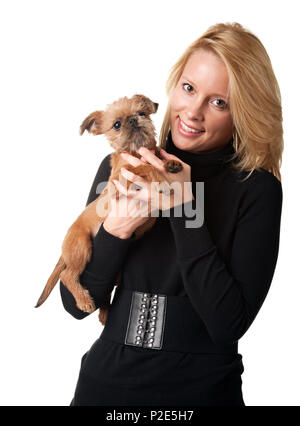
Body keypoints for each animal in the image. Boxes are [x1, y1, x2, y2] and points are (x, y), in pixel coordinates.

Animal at [35, 95, 183, 324]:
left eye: (142, 113)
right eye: (116, 125)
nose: (133, 120)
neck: (137, 151)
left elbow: (158, 157)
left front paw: (171, 163)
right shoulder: (119, 182)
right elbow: (146, 167)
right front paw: (160, 180)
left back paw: (104, 314)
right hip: (82, 246)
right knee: (67, 275)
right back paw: (84, 301)